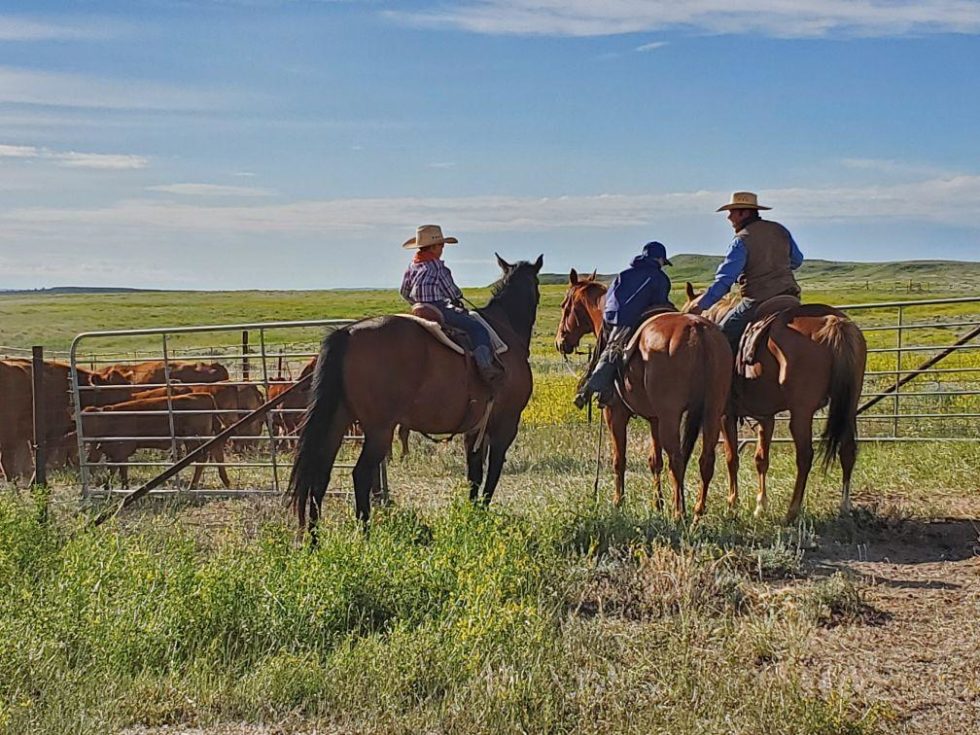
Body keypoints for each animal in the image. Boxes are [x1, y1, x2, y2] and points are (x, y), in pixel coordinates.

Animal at [82, 394, 232, 492]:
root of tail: (205, 395)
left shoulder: (121, 449)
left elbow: (114, 468)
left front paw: (109, 486)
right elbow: (122, 469)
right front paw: (123, 487)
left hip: (194, 437)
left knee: (202, 457)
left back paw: (193, 486)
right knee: (217, 452)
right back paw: (225, 481)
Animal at [288, 253, 548, 528]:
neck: (505, 331)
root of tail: (347, 333)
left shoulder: (476, 427)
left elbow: (474, 472)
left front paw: (473, 513)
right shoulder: (506, 423)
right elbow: (493, 471)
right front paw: (483, 514)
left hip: (338, 421)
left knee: (320, 475)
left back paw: (314, 536)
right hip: (379, 430)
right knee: (361, 474)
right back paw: (365, 532)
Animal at [556, 268, 732, 516]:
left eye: (565, 305)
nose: (560, 341)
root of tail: (697, 331)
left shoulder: (615, 413)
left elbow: (619, 459)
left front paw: (618, 502)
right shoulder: (654, 419)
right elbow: (654, 460)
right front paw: (657, 503)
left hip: (672, 416)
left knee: (677, 460)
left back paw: (680, 513)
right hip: (713, 411)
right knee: (706, 459)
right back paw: (697, 512)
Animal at [680, 284, 864, 520]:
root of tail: (835, 322)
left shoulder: (725, 414)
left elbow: (731, 458)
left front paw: (732, 504)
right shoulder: (765, 416)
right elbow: (761, 459)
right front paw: (760, 506)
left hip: (802, 413)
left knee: (805, 456)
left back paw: (792, 511)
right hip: (849, 405)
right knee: (848, 450)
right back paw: (844, 506)